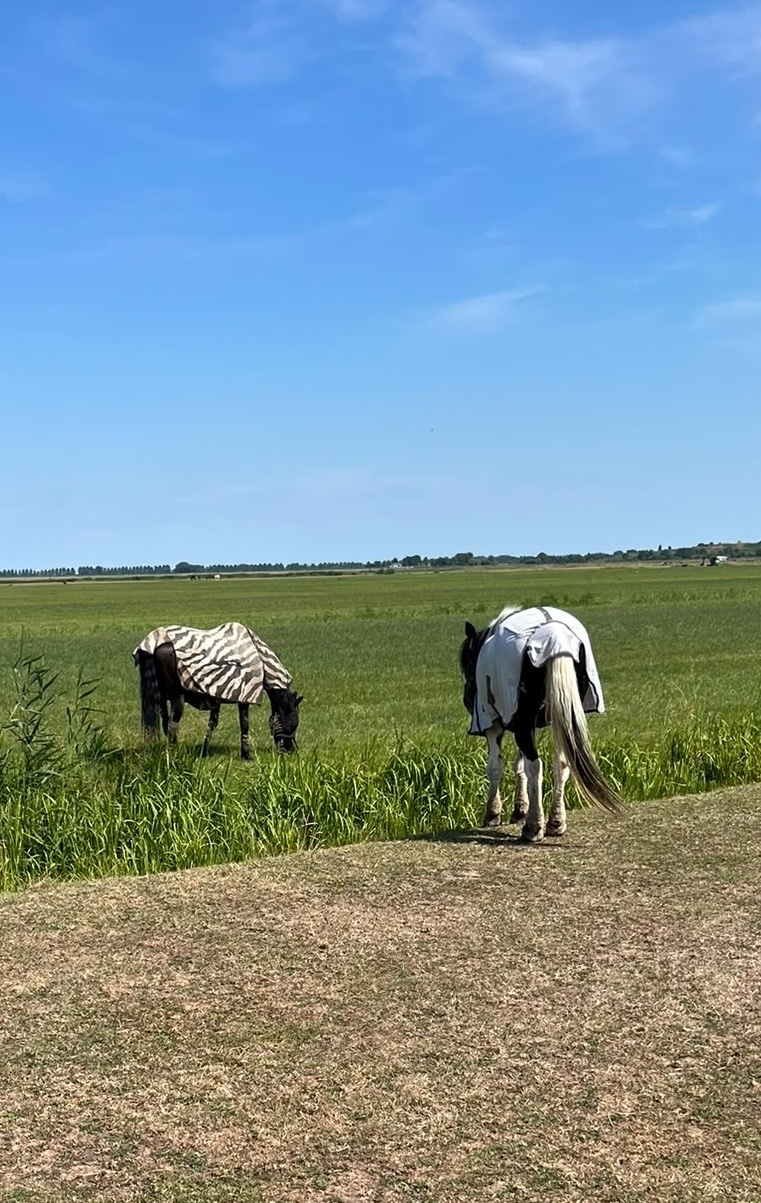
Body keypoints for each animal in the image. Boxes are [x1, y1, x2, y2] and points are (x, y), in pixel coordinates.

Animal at [134, 621, 303, 757]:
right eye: (294, 723)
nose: (293, 751)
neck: (262, 661)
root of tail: (154, 646)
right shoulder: (244, 695)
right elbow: (244, 725)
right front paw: (246, 755)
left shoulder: (216, 698)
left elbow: (212, 724)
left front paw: (204, 751)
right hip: (177, 697)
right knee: (172, 725)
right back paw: (175, 754)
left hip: (161, 698)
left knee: (164, 724)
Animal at [459, 605, 621, 842]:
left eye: (467, 664)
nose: (468, 698)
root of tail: (557, 640)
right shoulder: (525, 724)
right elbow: (520, 766)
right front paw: (520, 809)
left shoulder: (497, 725)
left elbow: (496, 766)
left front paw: (493, 813)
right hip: (561, 718)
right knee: (560, 763)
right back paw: (555, 822)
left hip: (522, 722)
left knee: (536, 766)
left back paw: (534, 827)